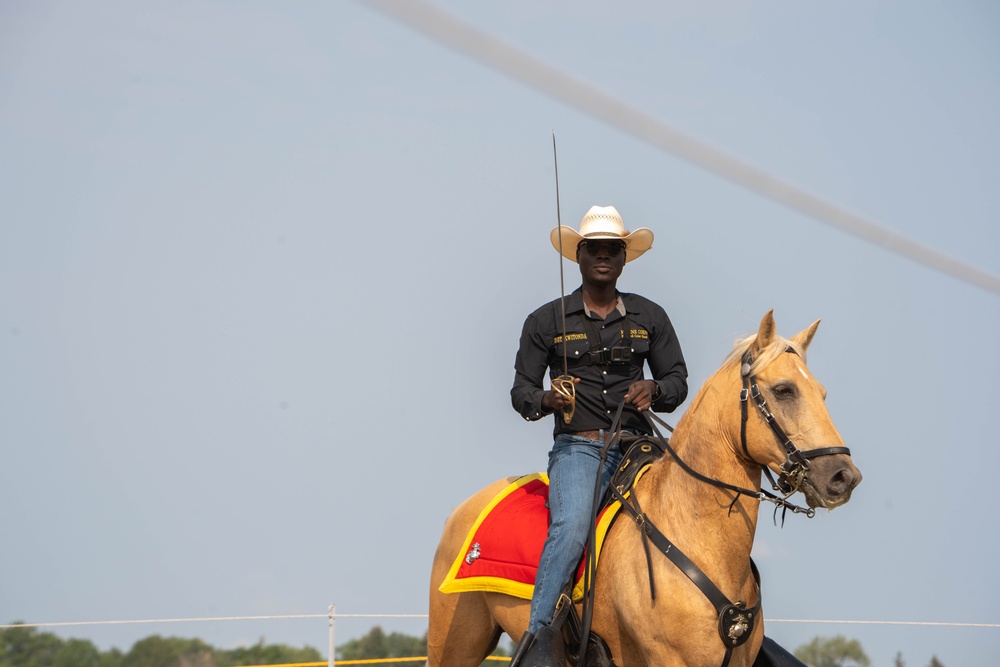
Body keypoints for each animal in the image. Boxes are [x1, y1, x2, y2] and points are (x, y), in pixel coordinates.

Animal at [428, 314, 860, 667]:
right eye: (785, 390)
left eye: (822, 393)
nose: (844, 476)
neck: (694, 534)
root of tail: (461, 511)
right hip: (454, 645)